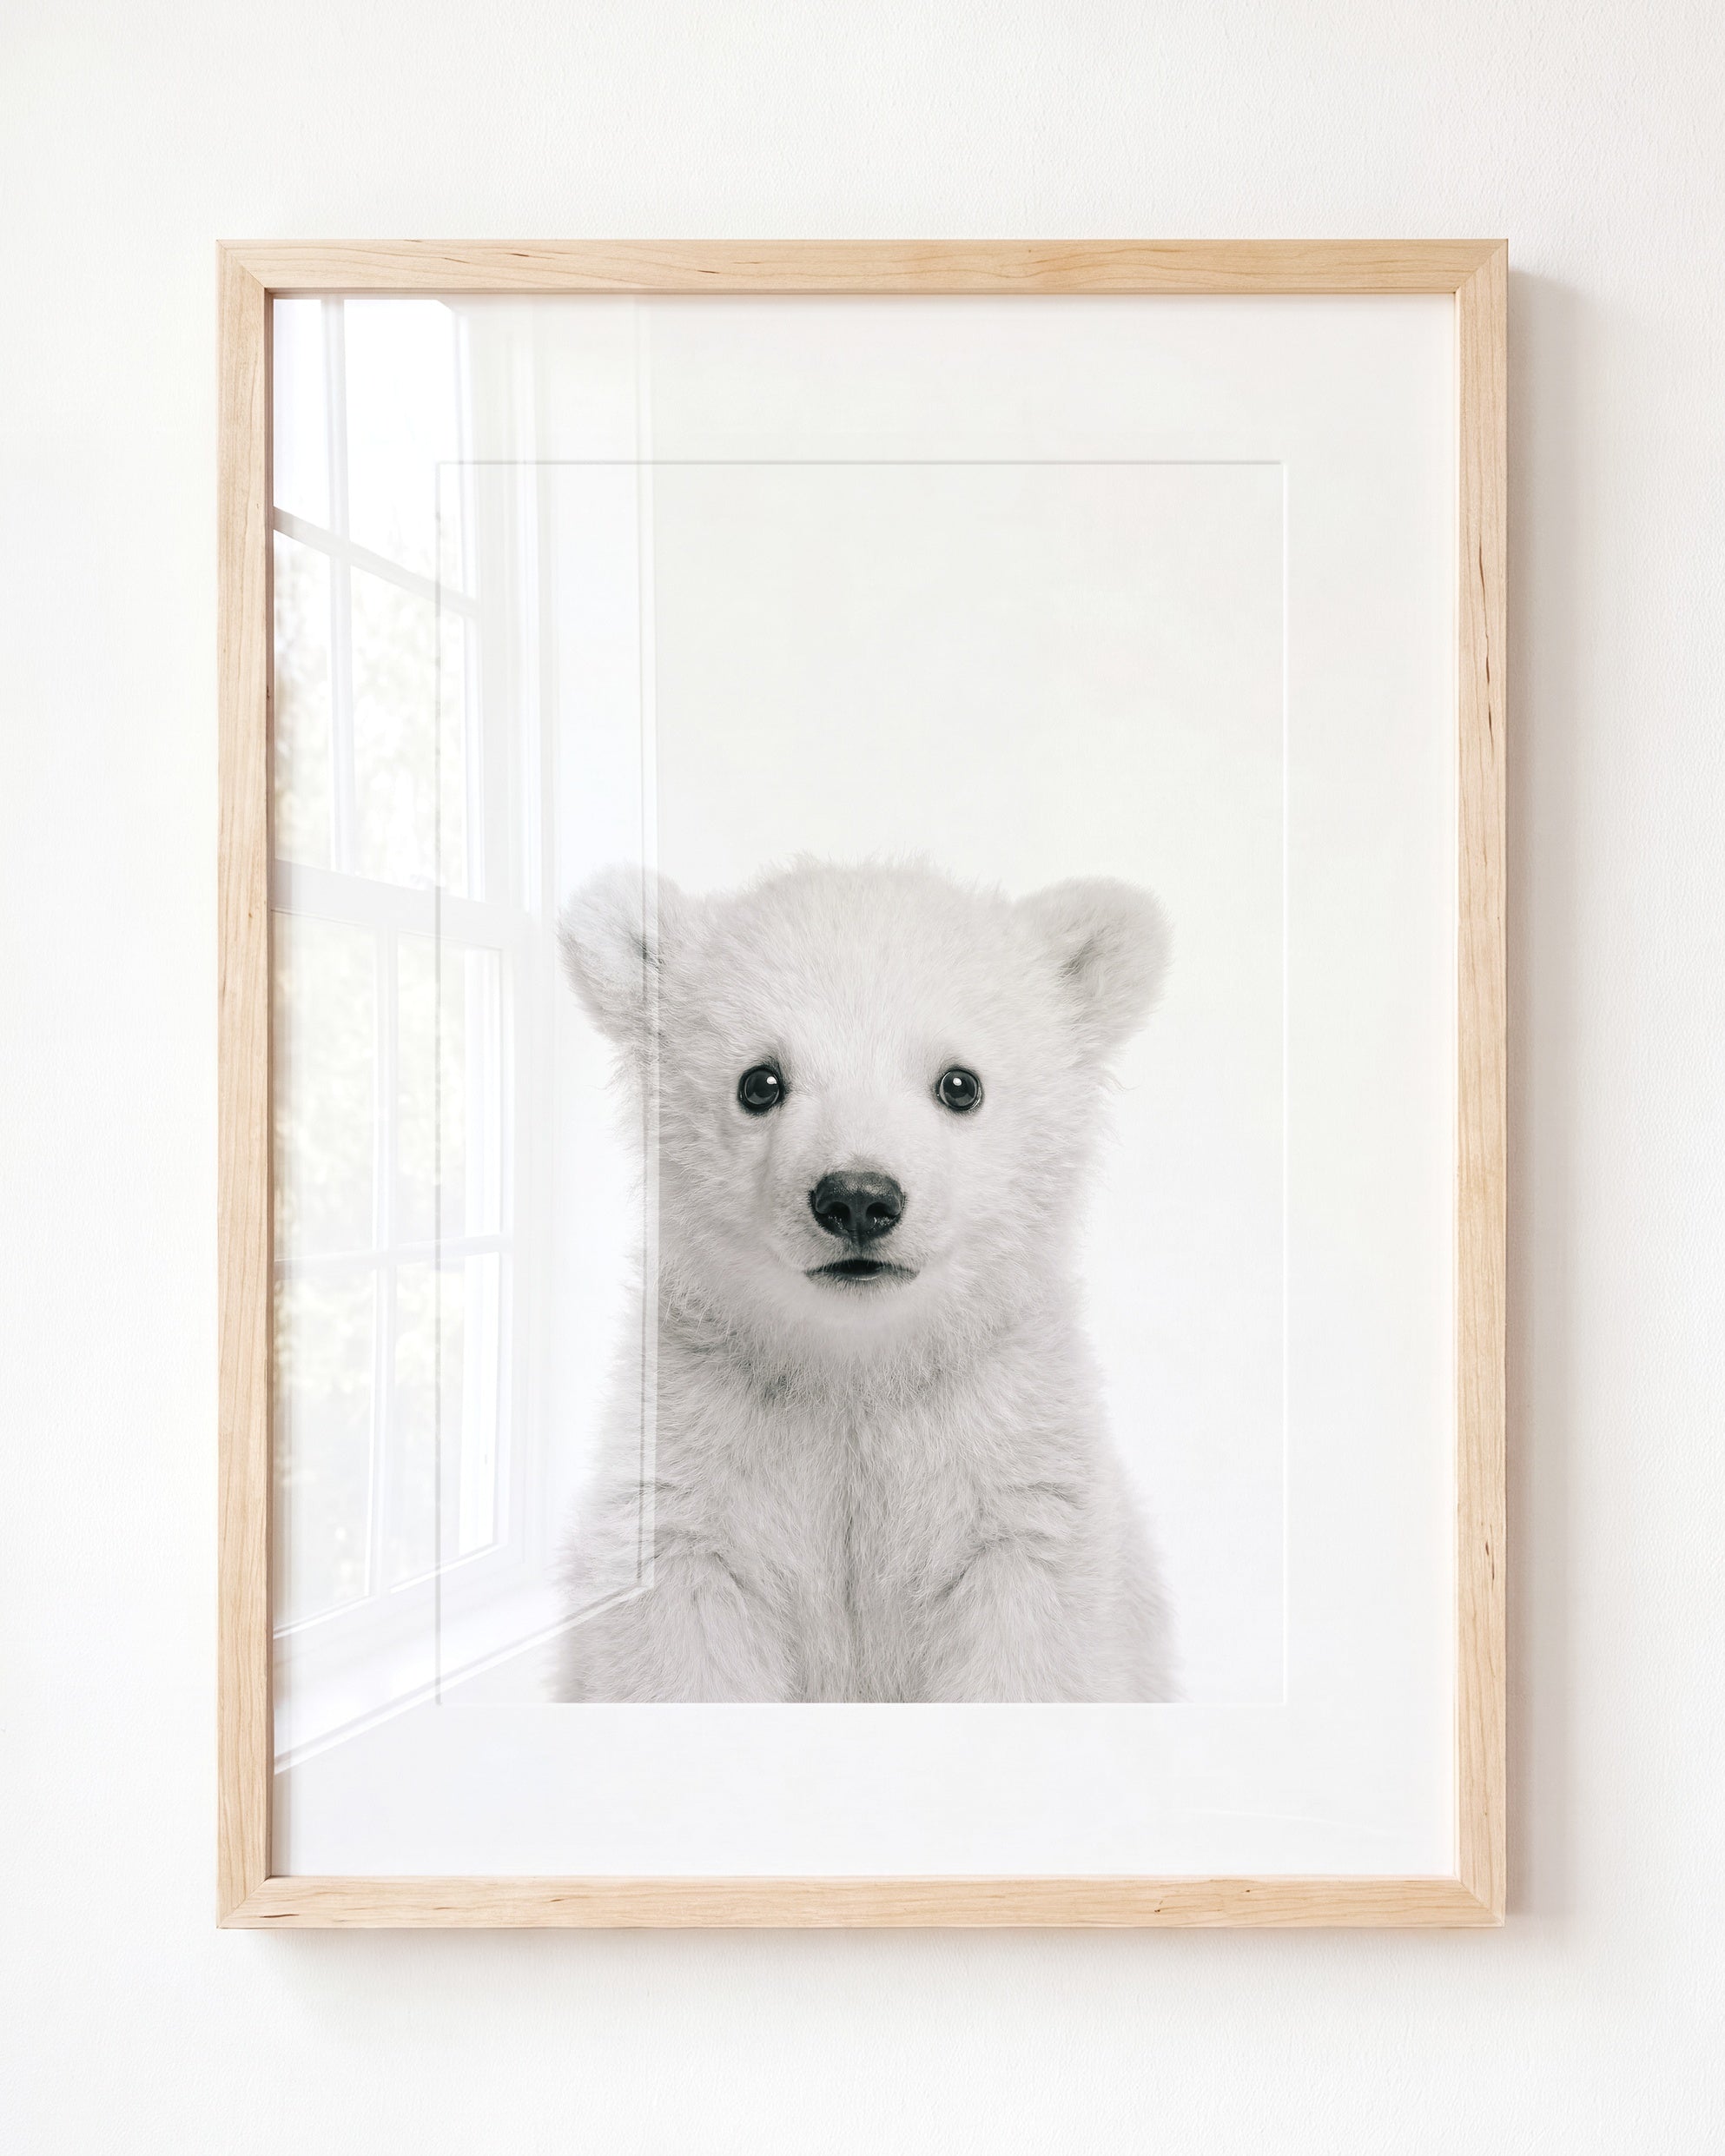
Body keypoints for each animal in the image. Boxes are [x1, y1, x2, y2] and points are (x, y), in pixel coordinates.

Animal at [552, 858, 1176, 1702]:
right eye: (759, 1082)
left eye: (960, 1084)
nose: (857, 1198)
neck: (856, 1370)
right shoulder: (696, 1472)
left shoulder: (1014, 1478)